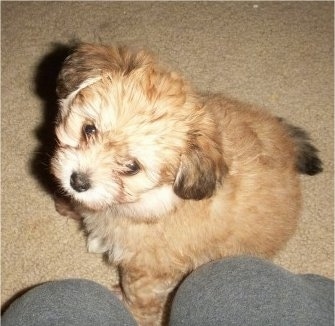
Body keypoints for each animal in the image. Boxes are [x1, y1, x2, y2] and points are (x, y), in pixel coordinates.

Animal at [51, 44, 322, 326]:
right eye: (89, 129)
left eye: (132, 167)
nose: (78, 181)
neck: (159, 198)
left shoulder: (151, 269)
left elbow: (140, 296)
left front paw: (130, 311)